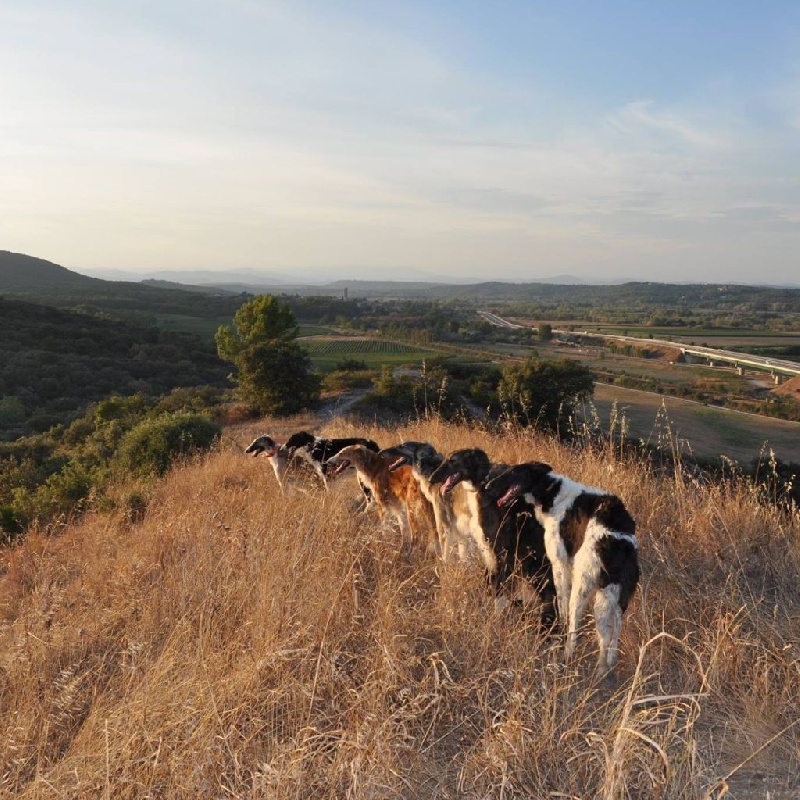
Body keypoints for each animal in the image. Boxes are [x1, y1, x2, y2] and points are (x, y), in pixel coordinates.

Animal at [488, 462, 639, 675]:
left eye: (514, 471)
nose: (487, 485)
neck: (550, 491)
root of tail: (619, 541)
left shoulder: (560, 566)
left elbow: (562, 607)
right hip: (616, 597)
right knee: (612, 637)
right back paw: (604, 669)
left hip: (583, 587)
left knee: (585, 631)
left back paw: (569, 658)